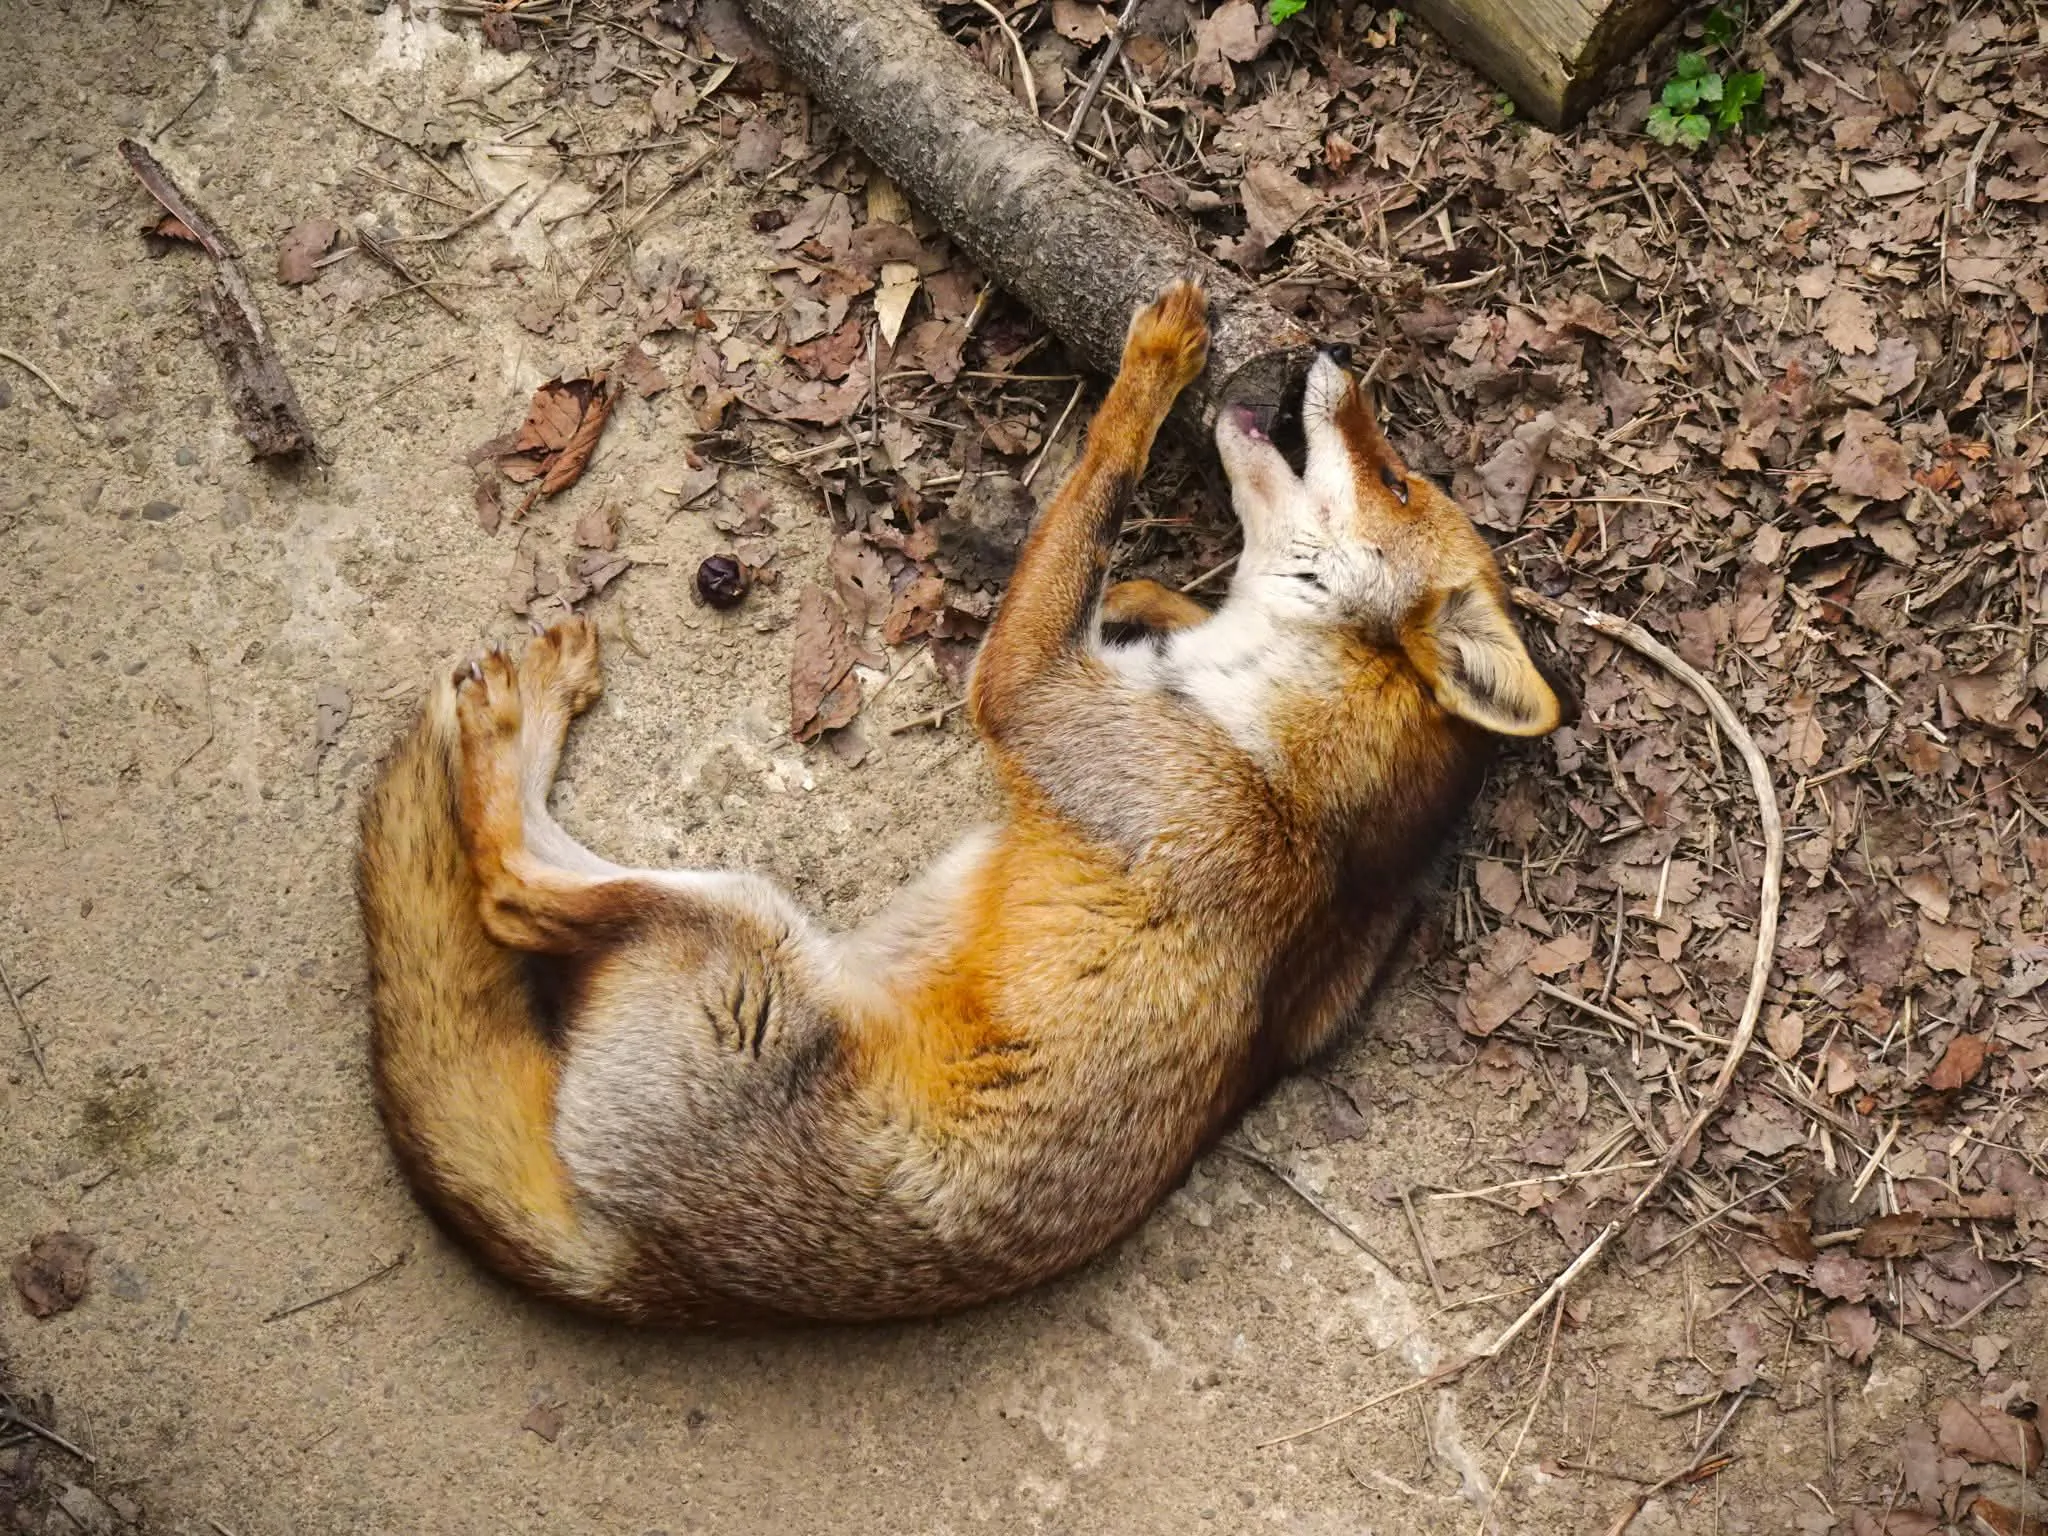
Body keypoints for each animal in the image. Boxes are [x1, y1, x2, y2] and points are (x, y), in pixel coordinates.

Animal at [355, 279, 1564, 1325]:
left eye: (1394, 480)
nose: (1330, 353)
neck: (1268, 747)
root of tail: (657, 1280)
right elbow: (1115, 581)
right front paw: (1147, 591)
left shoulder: (1028, 694)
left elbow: (1092, 494)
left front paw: (1151, 366)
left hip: (739, 924)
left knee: (510, 887)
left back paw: (507, 720)